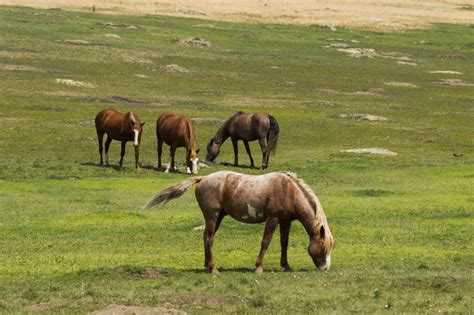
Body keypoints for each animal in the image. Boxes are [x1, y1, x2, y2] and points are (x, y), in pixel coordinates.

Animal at [144, 170, 334, 274]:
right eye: (323, 247)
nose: (325, 268)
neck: (289, 190)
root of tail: (203, 178)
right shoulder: (273, 219)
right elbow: (265, 242)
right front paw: (258, 267)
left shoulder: (285, 221)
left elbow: (284, 243)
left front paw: (286, 266)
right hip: (212, 215)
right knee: (209, 238)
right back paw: (213, 268)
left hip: (219, 216)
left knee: (206, 237)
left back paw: (207, 265)